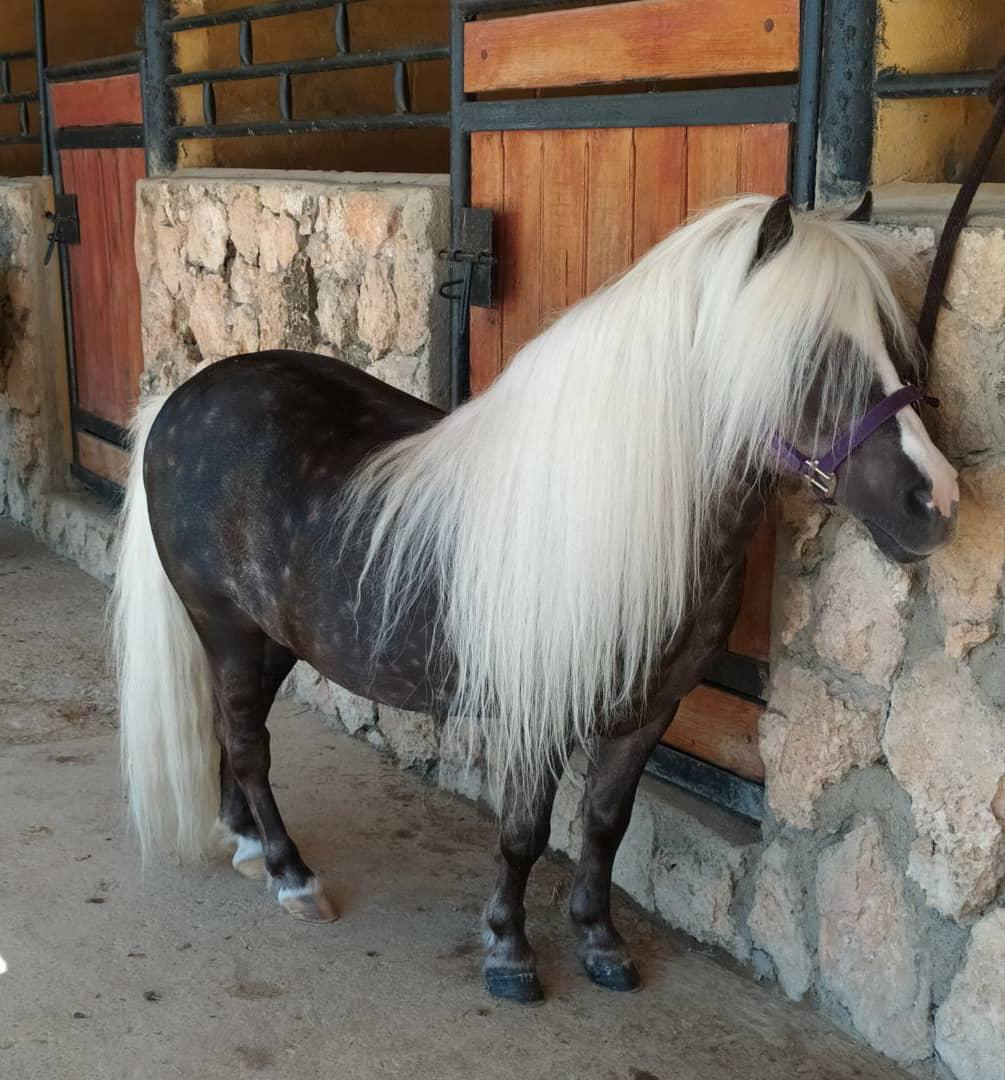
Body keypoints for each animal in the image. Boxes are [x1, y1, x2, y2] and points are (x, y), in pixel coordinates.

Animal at [113, 194, 959, 1005]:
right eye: (810, 353)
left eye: (894, 343)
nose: (936, 503)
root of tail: (180, 399)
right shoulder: (540, 712)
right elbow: (523, 835)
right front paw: (509, 953)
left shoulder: (651, 712)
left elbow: (604, 827)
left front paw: (600, 943)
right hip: (223, 625)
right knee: (249, 743)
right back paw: (291, 875)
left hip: (273, 637)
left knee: (233, 731)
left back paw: (247, 844)